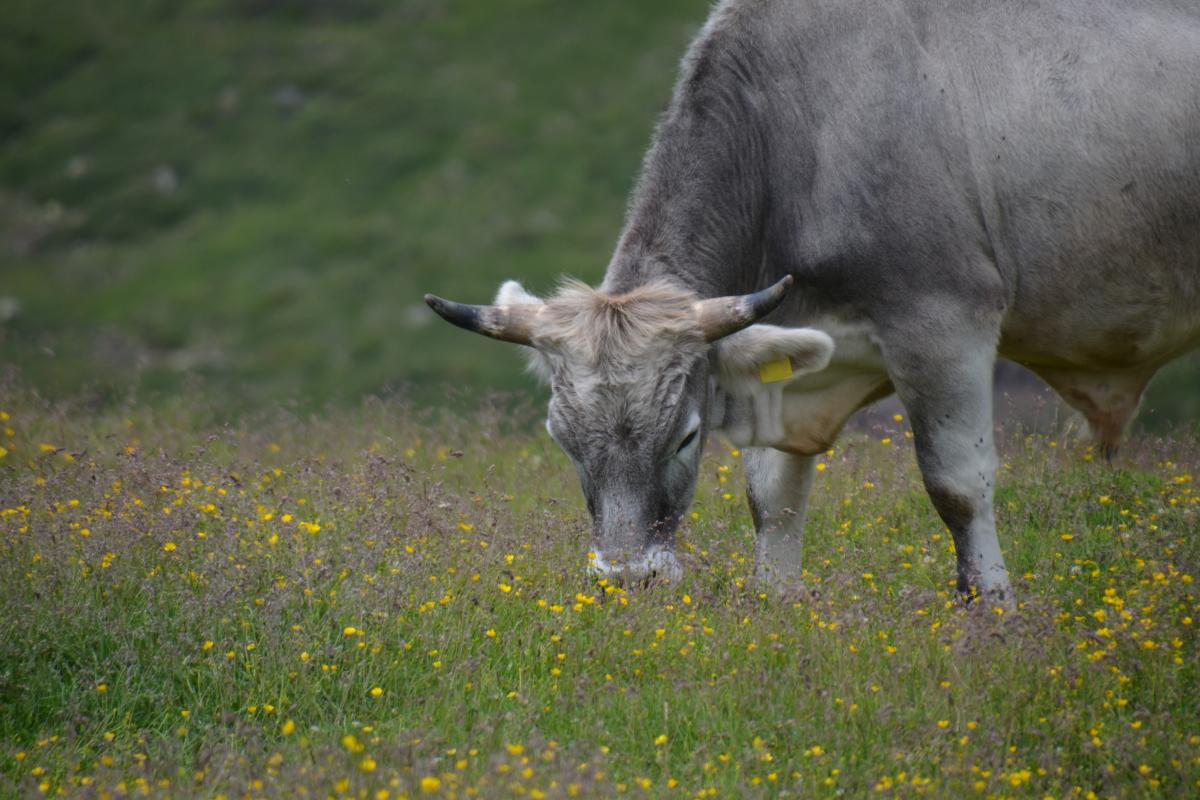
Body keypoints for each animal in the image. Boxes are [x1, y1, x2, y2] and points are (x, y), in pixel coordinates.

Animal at [424, 1, 1200, 599]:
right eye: (563, 440)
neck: (799, 136)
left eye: (686, 435)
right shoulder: (792, 356)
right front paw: (775, 604)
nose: (626, 580)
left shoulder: (945, 323)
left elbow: (958, 484)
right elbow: (771, 499)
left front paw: (993, 613)